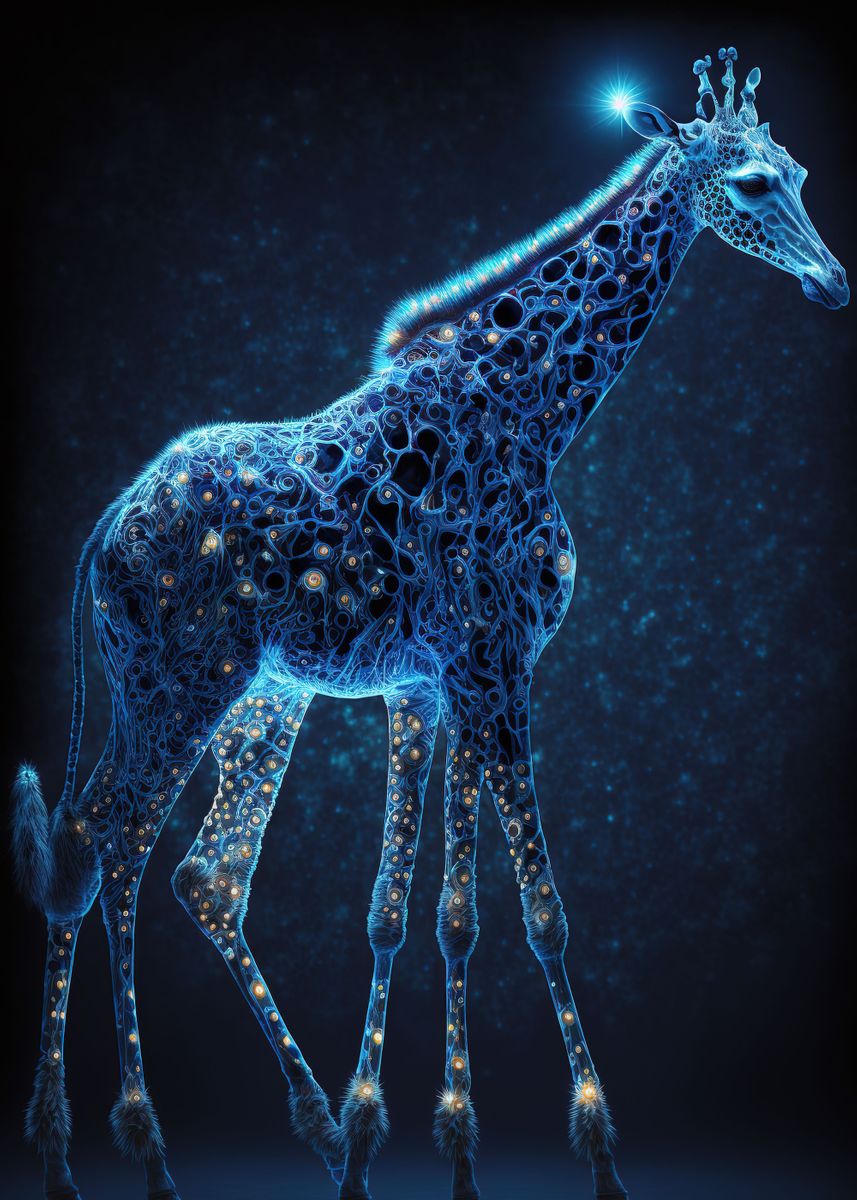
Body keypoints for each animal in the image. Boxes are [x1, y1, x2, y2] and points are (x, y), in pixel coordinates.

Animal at [12, 46, 847, 1200]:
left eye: (801, 171)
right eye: (754, 184)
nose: (832, 283)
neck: (534, 416)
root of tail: (104, 527)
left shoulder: (437, 681)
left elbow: (429, 914)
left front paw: (420, 1141)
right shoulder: (498, 671)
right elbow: (539, 914)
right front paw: (597, 1150)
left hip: (253, 697)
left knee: (191, 871)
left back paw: (288, 1131)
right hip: (179, 687)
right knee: (111, 849)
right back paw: (122, 1147)